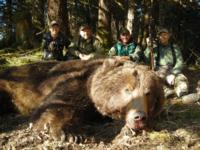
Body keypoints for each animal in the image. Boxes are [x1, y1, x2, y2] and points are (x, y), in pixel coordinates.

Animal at [0, 58, 165, 139]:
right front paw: (70, 134)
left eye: (148, 93)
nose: (139, 117)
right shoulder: (77, 81)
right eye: (127, 90)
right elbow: (58, 104)